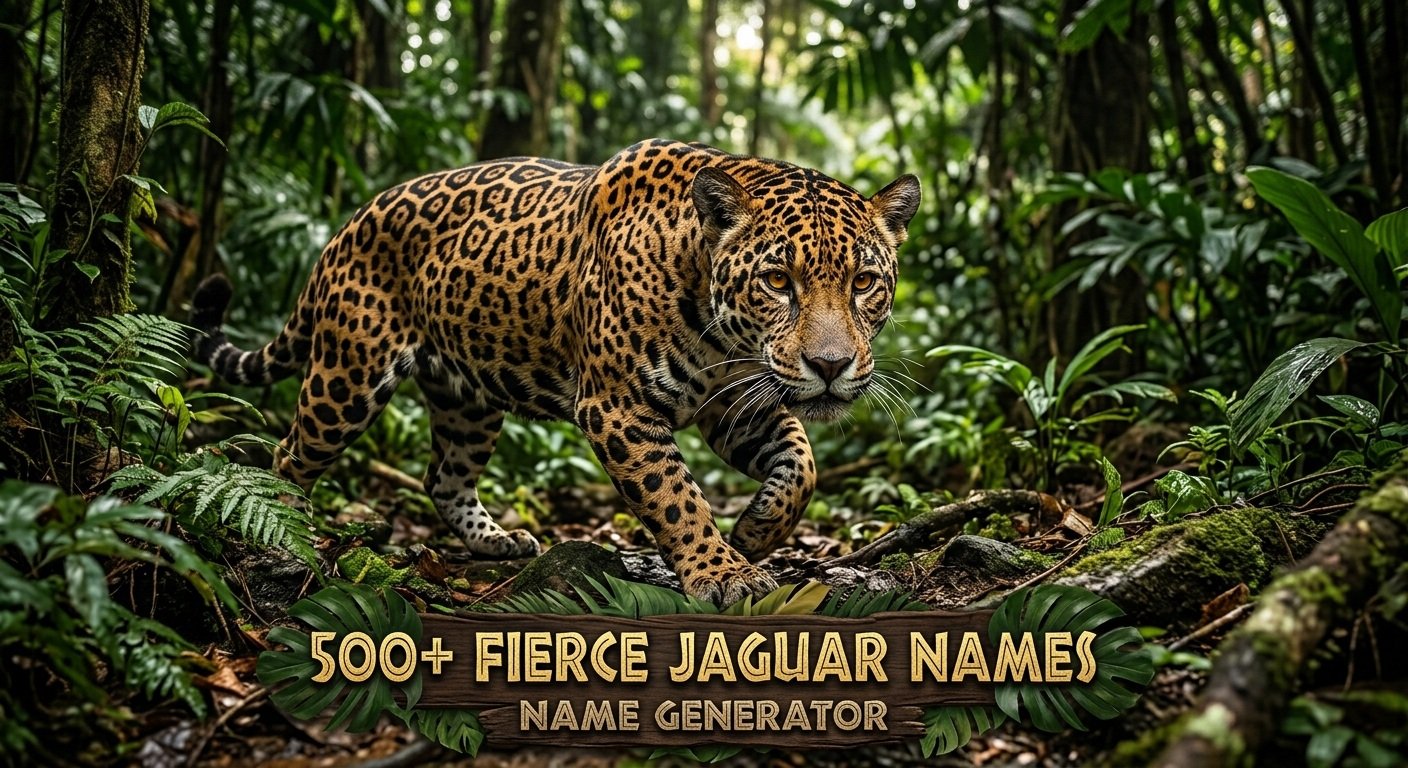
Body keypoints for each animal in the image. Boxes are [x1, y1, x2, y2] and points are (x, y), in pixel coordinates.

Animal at [190, 138, 920, 605]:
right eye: (776, 281)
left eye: (863, 283)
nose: (831, 366)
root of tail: (346, 226)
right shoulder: (618, 407)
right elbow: (676, 496)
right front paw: (721, 571)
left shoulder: (734, 403)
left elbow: (801, 465)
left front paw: (754, 533)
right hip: (349, 374)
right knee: (289, 453)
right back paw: (283, 535)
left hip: (468, 399)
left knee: (443, 476)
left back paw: (497, 543)